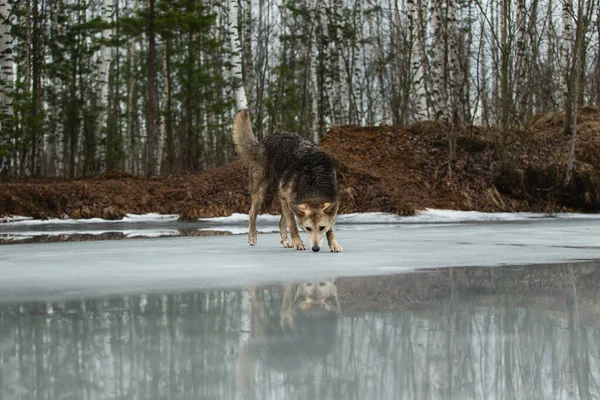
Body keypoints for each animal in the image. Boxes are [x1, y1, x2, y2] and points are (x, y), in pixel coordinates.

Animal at [231, 109, 342, 253]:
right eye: (308, 228)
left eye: (322, 227)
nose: (316, 248)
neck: (313, 179)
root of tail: (261, 142)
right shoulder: (289, 201)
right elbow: (293, 226)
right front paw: (299, 243)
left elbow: (331, 229)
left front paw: (333, 244)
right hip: (262, 194)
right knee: (252, 213)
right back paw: (252, 237)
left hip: (283, 201)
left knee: (280, 223)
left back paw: (285, 241)